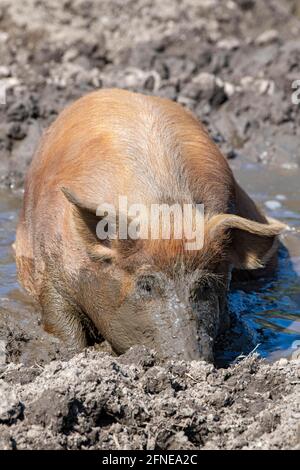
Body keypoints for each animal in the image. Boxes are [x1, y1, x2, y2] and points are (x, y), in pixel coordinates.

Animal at [15, 87, 284, 360]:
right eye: (145, 284)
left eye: (205, 285)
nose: (191, 361)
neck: (165, 214)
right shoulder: (51, 264)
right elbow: (62, 321)